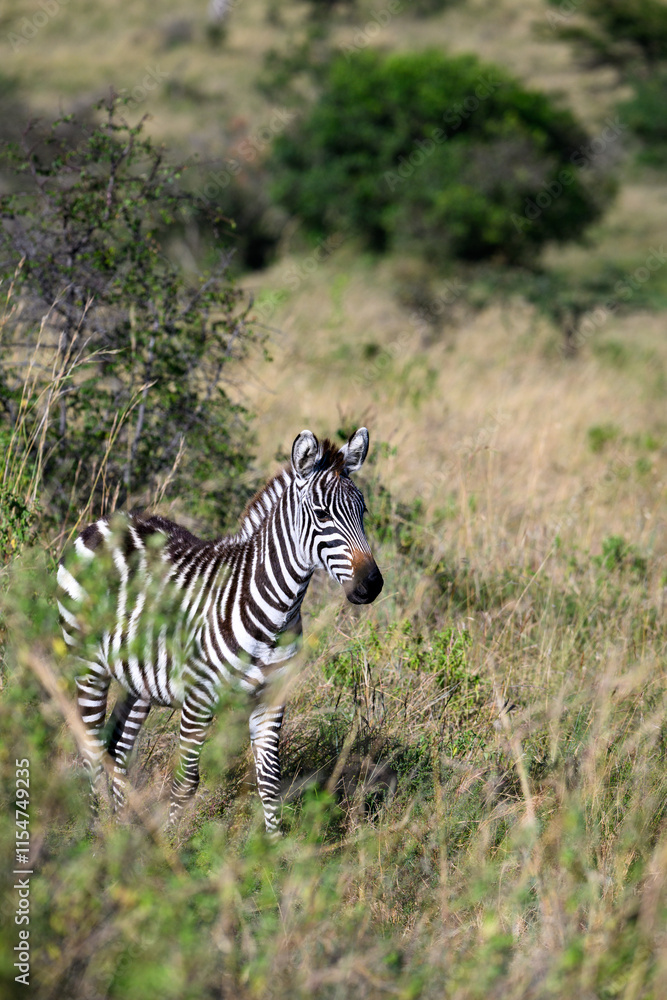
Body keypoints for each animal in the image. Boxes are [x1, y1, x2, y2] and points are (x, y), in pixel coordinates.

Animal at [57, 427, 383, 836]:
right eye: (322, 514)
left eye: (363, 512)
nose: (371, 585)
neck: (275, 612)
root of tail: (106, 520)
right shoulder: (198, 698)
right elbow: (186, 782)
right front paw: (170, 846)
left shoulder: (271, 700)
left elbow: (270, 781)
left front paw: (274, 848)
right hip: (87, 663)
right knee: (88, 750)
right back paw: (93, 832)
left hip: (139, 680)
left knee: (116, 747)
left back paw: (118, 829)